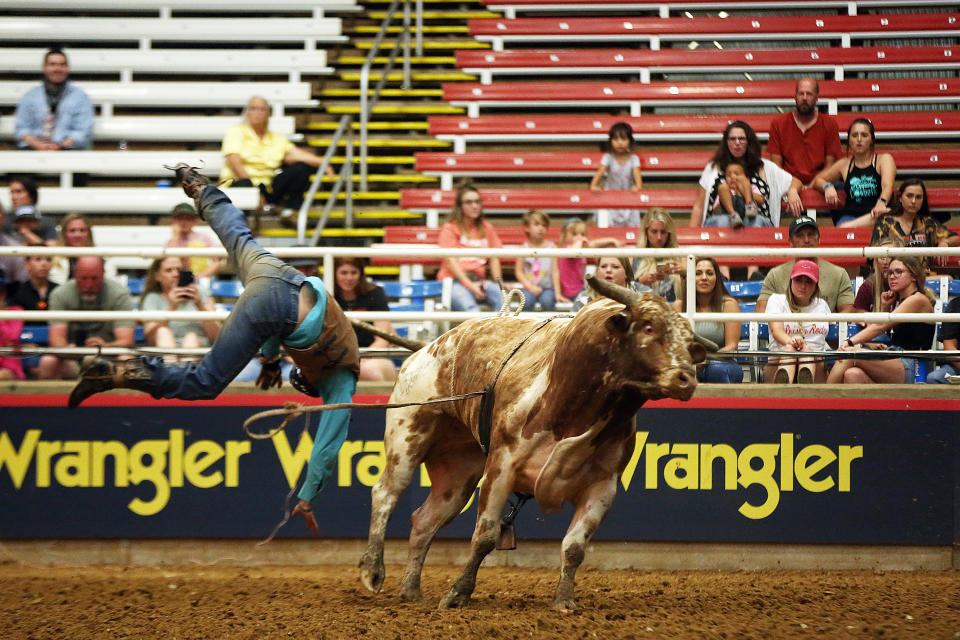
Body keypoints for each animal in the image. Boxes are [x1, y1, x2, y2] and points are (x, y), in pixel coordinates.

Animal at [356, 276, 708, 608]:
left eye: (689, 342)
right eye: (648, 326)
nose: (686, 379)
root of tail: (428, 347)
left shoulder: (603, 486)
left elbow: (574, 548)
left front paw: (564, 599)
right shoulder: (501, 466)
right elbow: (485, 536)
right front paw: (458, 593)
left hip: (458, 471)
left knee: (425, 520)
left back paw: (411, 590)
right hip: (406, 435)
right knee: (386, 493)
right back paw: (373, 571)